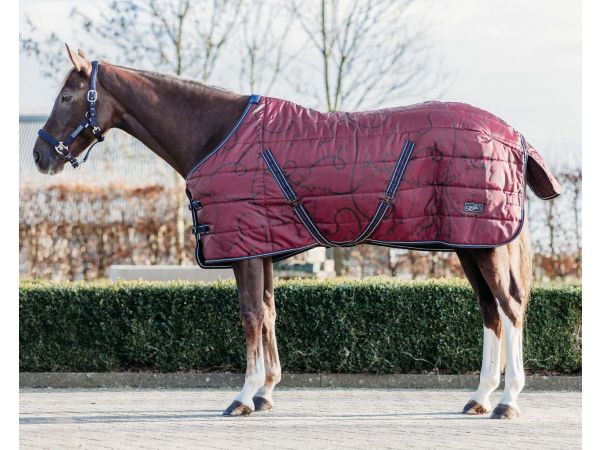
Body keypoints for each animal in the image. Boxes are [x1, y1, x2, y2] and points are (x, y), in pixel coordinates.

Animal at [32, 45, 560, 418]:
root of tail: (514, 136)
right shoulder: (263, 246)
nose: (40, 155)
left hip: (486, 245)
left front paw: (243, 396)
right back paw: (480, 397)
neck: (217, 134)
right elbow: (268, 313)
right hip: (471, 244)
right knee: (490, 311)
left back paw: (507, 401)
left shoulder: (244, 249)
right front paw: (266, 392)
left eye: (65, 96)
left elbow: (250, 315)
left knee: (509, 307)